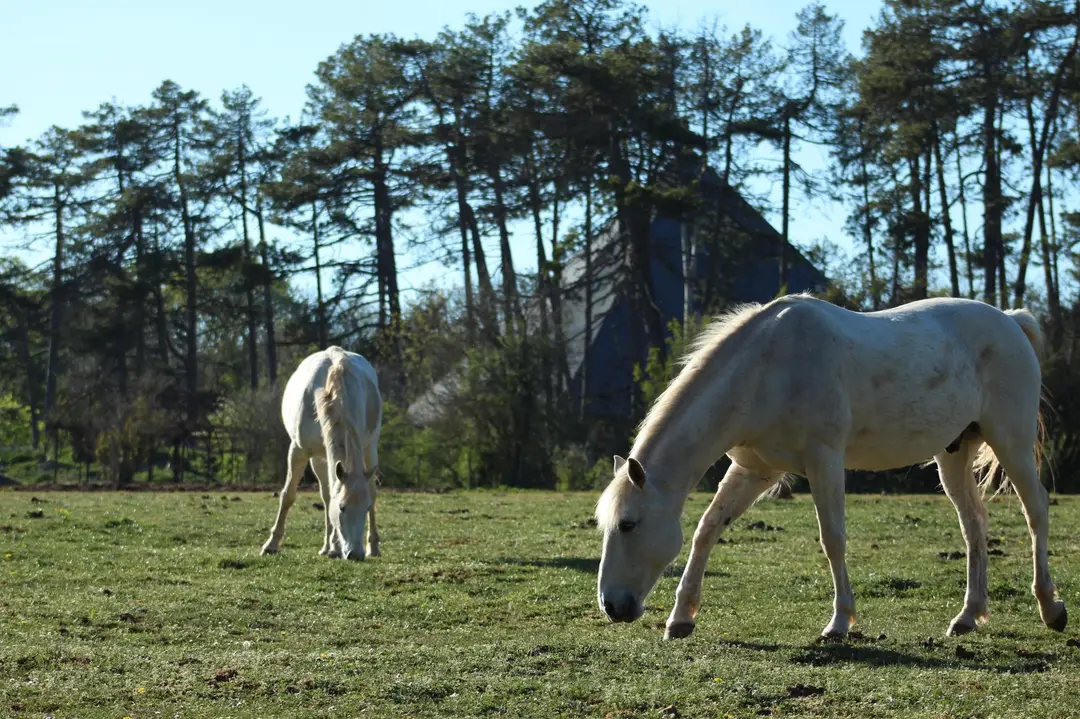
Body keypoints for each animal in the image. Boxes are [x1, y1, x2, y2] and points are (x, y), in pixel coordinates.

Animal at [261, 346, 383, 561]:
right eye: (342, 507)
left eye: (365, 508)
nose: (355, 554)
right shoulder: (298, 451)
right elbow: (288, 495)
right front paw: (271, 545)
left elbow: (370, 495)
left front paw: (339, 547)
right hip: (319, 459)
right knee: (326, 495)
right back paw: (328, 546)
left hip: (369, 450)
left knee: (367, 490)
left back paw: (368, 547)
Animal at [595, 293, 1066, 641]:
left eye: (628, 525)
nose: (611, 606)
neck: (767, 367)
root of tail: (1010, 321)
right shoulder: (753, 470)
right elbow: (706, 529)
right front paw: (681, 618)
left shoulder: (824, 460)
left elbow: (833, 539)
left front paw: (839, 623)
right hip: (953, 454)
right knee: (974, 524)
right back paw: (968, 616)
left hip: (1012, 442)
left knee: (1036, 511)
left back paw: (1050, 607)